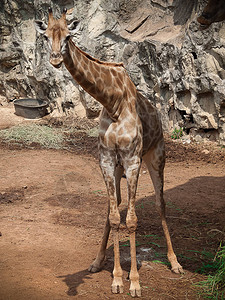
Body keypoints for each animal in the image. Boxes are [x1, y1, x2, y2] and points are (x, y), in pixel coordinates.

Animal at [34, 8, 184, 296]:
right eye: (46, 36)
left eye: (68, 36)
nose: (55, 59)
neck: (112, 101)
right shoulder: (105, 159)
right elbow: (115, 216)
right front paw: (115, 278)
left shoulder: (133, 159)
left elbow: (133, 220)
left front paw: (134, 282)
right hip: (117, 168)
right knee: (114, 207)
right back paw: (97, 261)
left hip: (156, 157)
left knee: (160, 204)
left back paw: (175, 264)